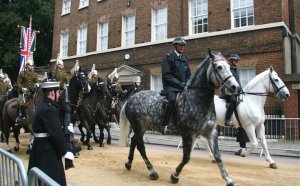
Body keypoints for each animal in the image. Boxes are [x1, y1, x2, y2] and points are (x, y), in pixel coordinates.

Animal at [119, 50, 239, 186]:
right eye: (219, 67)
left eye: (230, 66)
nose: (235, 87)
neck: (198, 100)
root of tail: (131, 99)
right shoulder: (188, 134)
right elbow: (186, 157)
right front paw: (175, 175)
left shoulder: (211, 133)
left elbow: (218, 156)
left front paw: (228, 179)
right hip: (138, 126)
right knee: (140, 146)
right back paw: (152, 171)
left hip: (142, 127)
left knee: (134, 141)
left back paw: (129, 163)